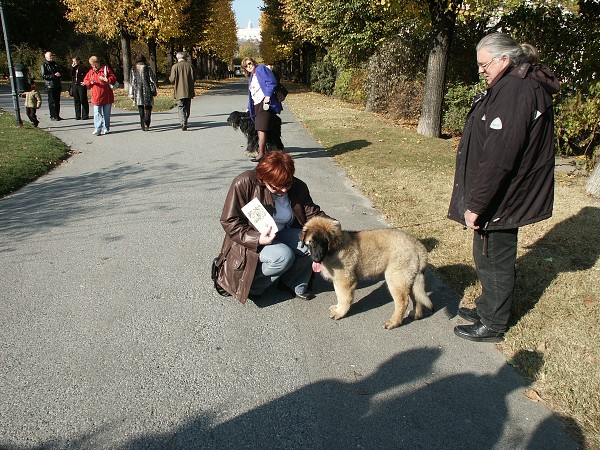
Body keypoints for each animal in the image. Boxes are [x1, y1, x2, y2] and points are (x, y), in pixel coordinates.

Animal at [298, 216, 432, 328]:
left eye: (325, 242)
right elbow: (339, 296)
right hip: (409, 279)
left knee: (403, 302)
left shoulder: (345, 281)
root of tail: (417, 245)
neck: (335, 250)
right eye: (311, 242)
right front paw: (337, 308)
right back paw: (416, 314)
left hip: (396, 278)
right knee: (416, 297)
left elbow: (343, 297)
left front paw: (340, 313)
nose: (316, 259)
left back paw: (393, 322)